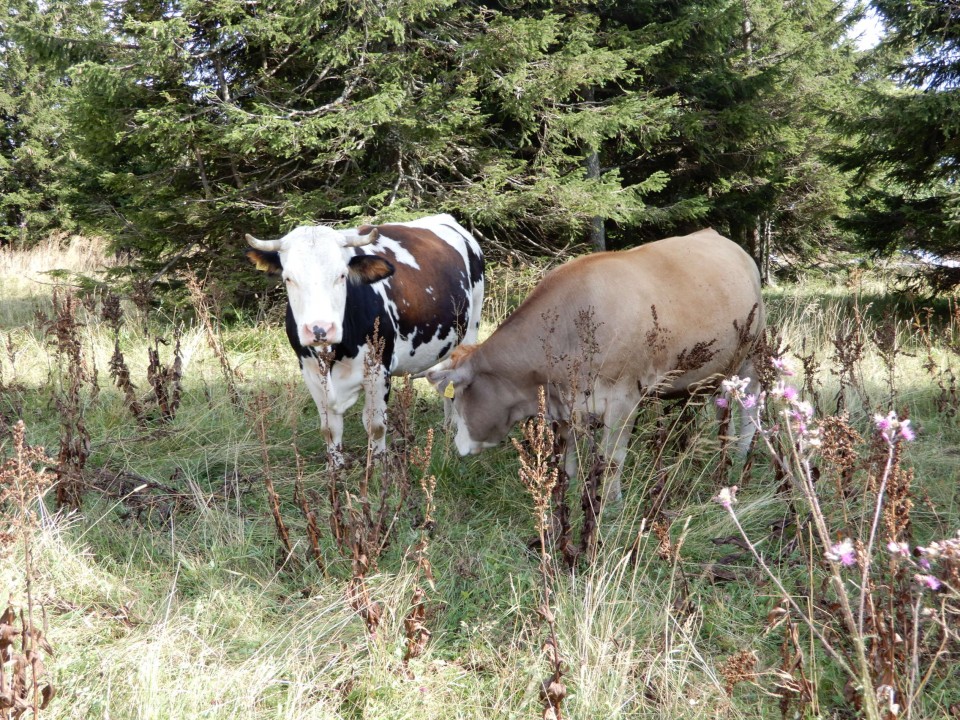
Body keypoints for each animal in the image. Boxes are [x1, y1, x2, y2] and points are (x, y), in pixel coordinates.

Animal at [248, 214, 488, 462]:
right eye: (288, 278)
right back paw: (448, 426)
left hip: (470, 331)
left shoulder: (378, 370)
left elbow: (376, 426)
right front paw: (336, 467)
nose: (320, 329)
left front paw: (378, 465)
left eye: (342, 275)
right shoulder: (311, 372)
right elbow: (329, 429)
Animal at [428, 228, 764, 504]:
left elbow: (612, 458)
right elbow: (568, 459)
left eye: (456, 397)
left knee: (749, 405)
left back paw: (740, 452)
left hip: (753, 354)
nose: (457, 446)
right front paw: (571, 490)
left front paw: (610, 503)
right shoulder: (568, 408)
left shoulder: (624, 399)